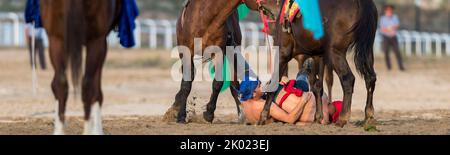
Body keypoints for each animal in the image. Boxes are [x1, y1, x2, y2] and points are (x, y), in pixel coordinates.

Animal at [39, 0, 121, 134]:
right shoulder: (101, 41)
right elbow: (97, 89)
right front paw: (97, 130)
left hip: (56, 39)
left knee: (60, 83)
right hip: (95, 41)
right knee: (88, 85)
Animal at [244, 0, 378, 126]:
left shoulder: (283, 52)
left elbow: (274, 83)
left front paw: (262, 117)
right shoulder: (318, 55)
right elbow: (317, 86)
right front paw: (318, 118)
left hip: (335, 52)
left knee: (348, 79)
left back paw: (343, 118)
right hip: (367, 49)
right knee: (370, 78)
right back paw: (368, 116)